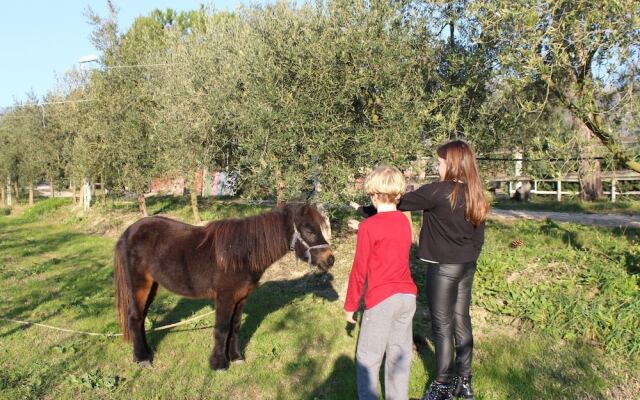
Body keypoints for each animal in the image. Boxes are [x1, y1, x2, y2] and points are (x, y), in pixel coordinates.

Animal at [113, 202, 335, 370]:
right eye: (309, 229)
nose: (330, 259)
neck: (242, 253)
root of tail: (128, 232)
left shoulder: (241, 297)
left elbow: (234, 327)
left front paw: (236, 357)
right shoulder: (225, 297)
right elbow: (221, 329)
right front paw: (219, 364)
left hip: (152, 286)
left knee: (141, 318)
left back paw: (145, 353)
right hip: (139, 286)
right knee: (134, 318)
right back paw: (142, 358)